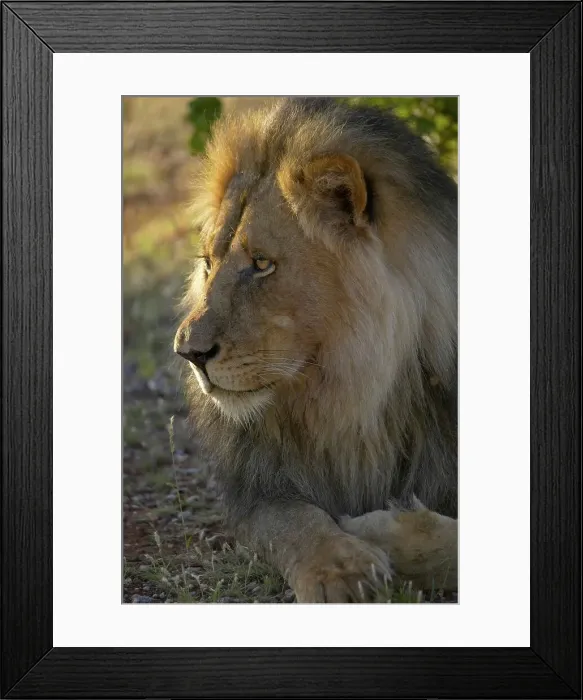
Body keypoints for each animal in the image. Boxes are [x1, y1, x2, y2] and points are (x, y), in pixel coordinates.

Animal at [174, 98, 458, 602]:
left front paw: (377, 531)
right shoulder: (264, 487)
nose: (188, 354)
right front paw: (340, 569)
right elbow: (293, 523)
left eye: (261, 264)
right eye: (208, 262)